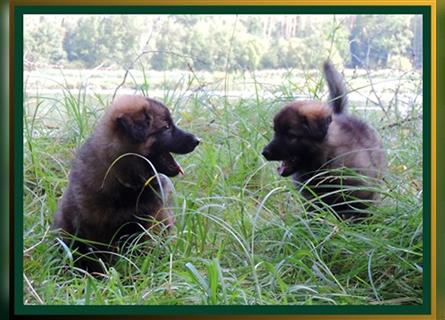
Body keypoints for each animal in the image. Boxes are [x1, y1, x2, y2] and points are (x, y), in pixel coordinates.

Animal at [52, 95, 199, 272]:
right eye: (166, 127)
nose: (198, 140)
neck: (127, 182)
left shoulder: (147, 221)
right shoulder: (94, 228)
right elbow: (98, 256)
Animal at [262, 61, 384, 219]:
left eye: (291, 136)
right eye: (275, 132)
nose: (264, 152)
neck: (325, 159)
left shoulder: (361, 194)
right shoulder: (312, 201)